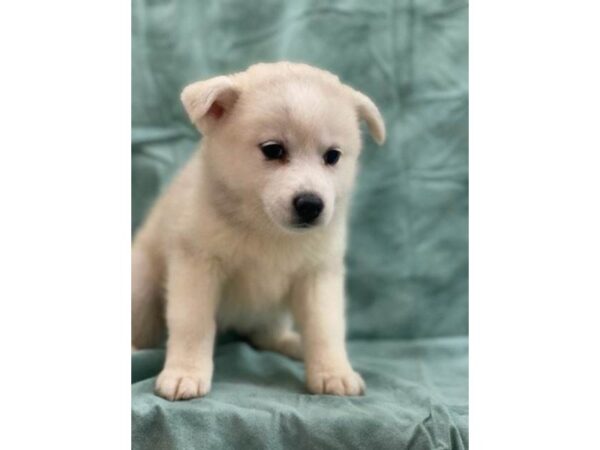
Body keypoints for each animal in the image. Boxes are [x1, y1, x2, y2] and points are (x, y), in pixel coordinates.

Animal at [131, 60, 384, 400]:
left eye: (332, 156)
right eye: (273, 150)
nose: (310, 204)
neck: (267, 229)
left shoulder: (318, 273)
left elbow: (325, 327)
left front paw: (334, 372)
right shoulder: (196, 264)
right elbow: (193, 324)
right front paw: (185, 373)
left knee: (265, 335)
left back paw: (292, 343)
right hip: (142, 285)